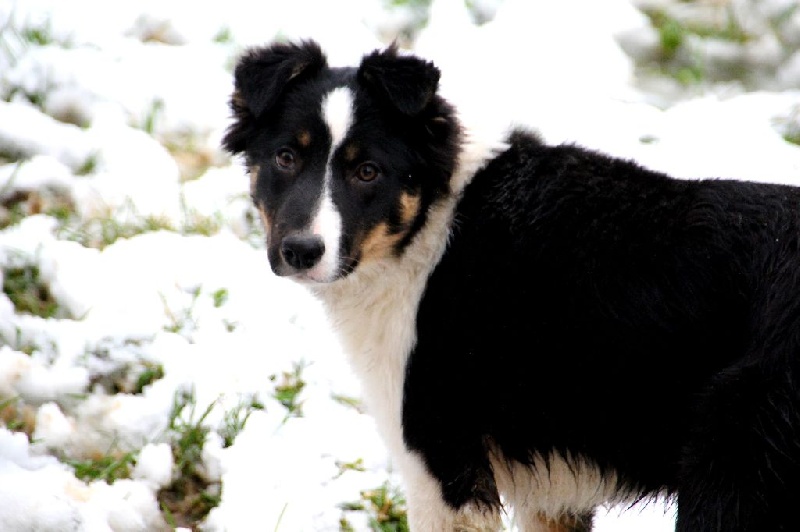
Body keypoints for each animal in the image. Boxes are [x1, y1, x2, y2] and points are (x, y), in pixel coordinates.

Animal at [222, 39, 800, 528]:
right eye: (286, 157)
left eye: (367, 171)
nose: (300, 252)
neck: (430, 224)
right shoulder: (553, 495)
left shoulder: (442, 464)